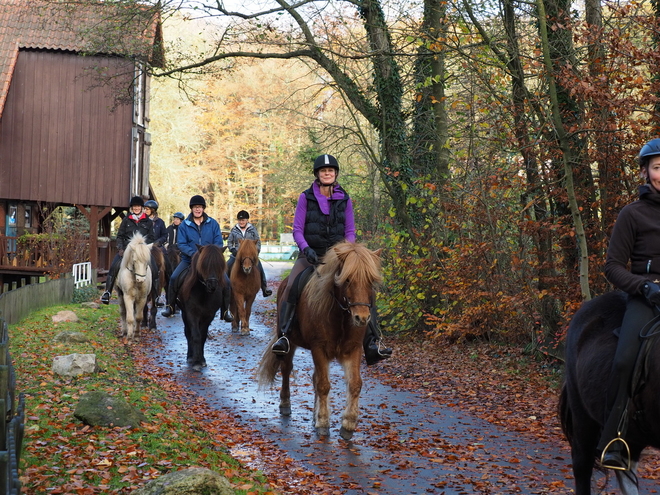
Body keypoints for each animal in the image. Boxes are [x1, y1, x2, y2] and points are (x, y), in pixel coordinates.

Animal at [178, 244, 229, 372]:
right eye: (204, 265)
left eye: (220, 265)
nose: (212, 285)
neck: (204, 293)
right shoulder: (191, 313)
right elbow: (195, 335)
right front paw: (196, 362)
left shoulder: (209, 315)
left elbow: (203, 335)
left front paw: (201, 360)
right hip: (184, 314)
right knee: (188, 333)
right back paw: (190, 357)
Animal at [258, 242, 382, 440]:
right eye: (347, 280)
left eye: (371, 281)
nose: (362, 318)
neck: (340, 316)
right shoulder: (319, 348)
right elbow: (323, 385)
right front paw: (323, 423)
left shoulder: (353, 350)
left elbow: (354, 384)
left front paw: (348, 424)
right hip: (289, 341)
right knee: (286, 369)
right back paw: (285, 404)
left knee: (314, 377)